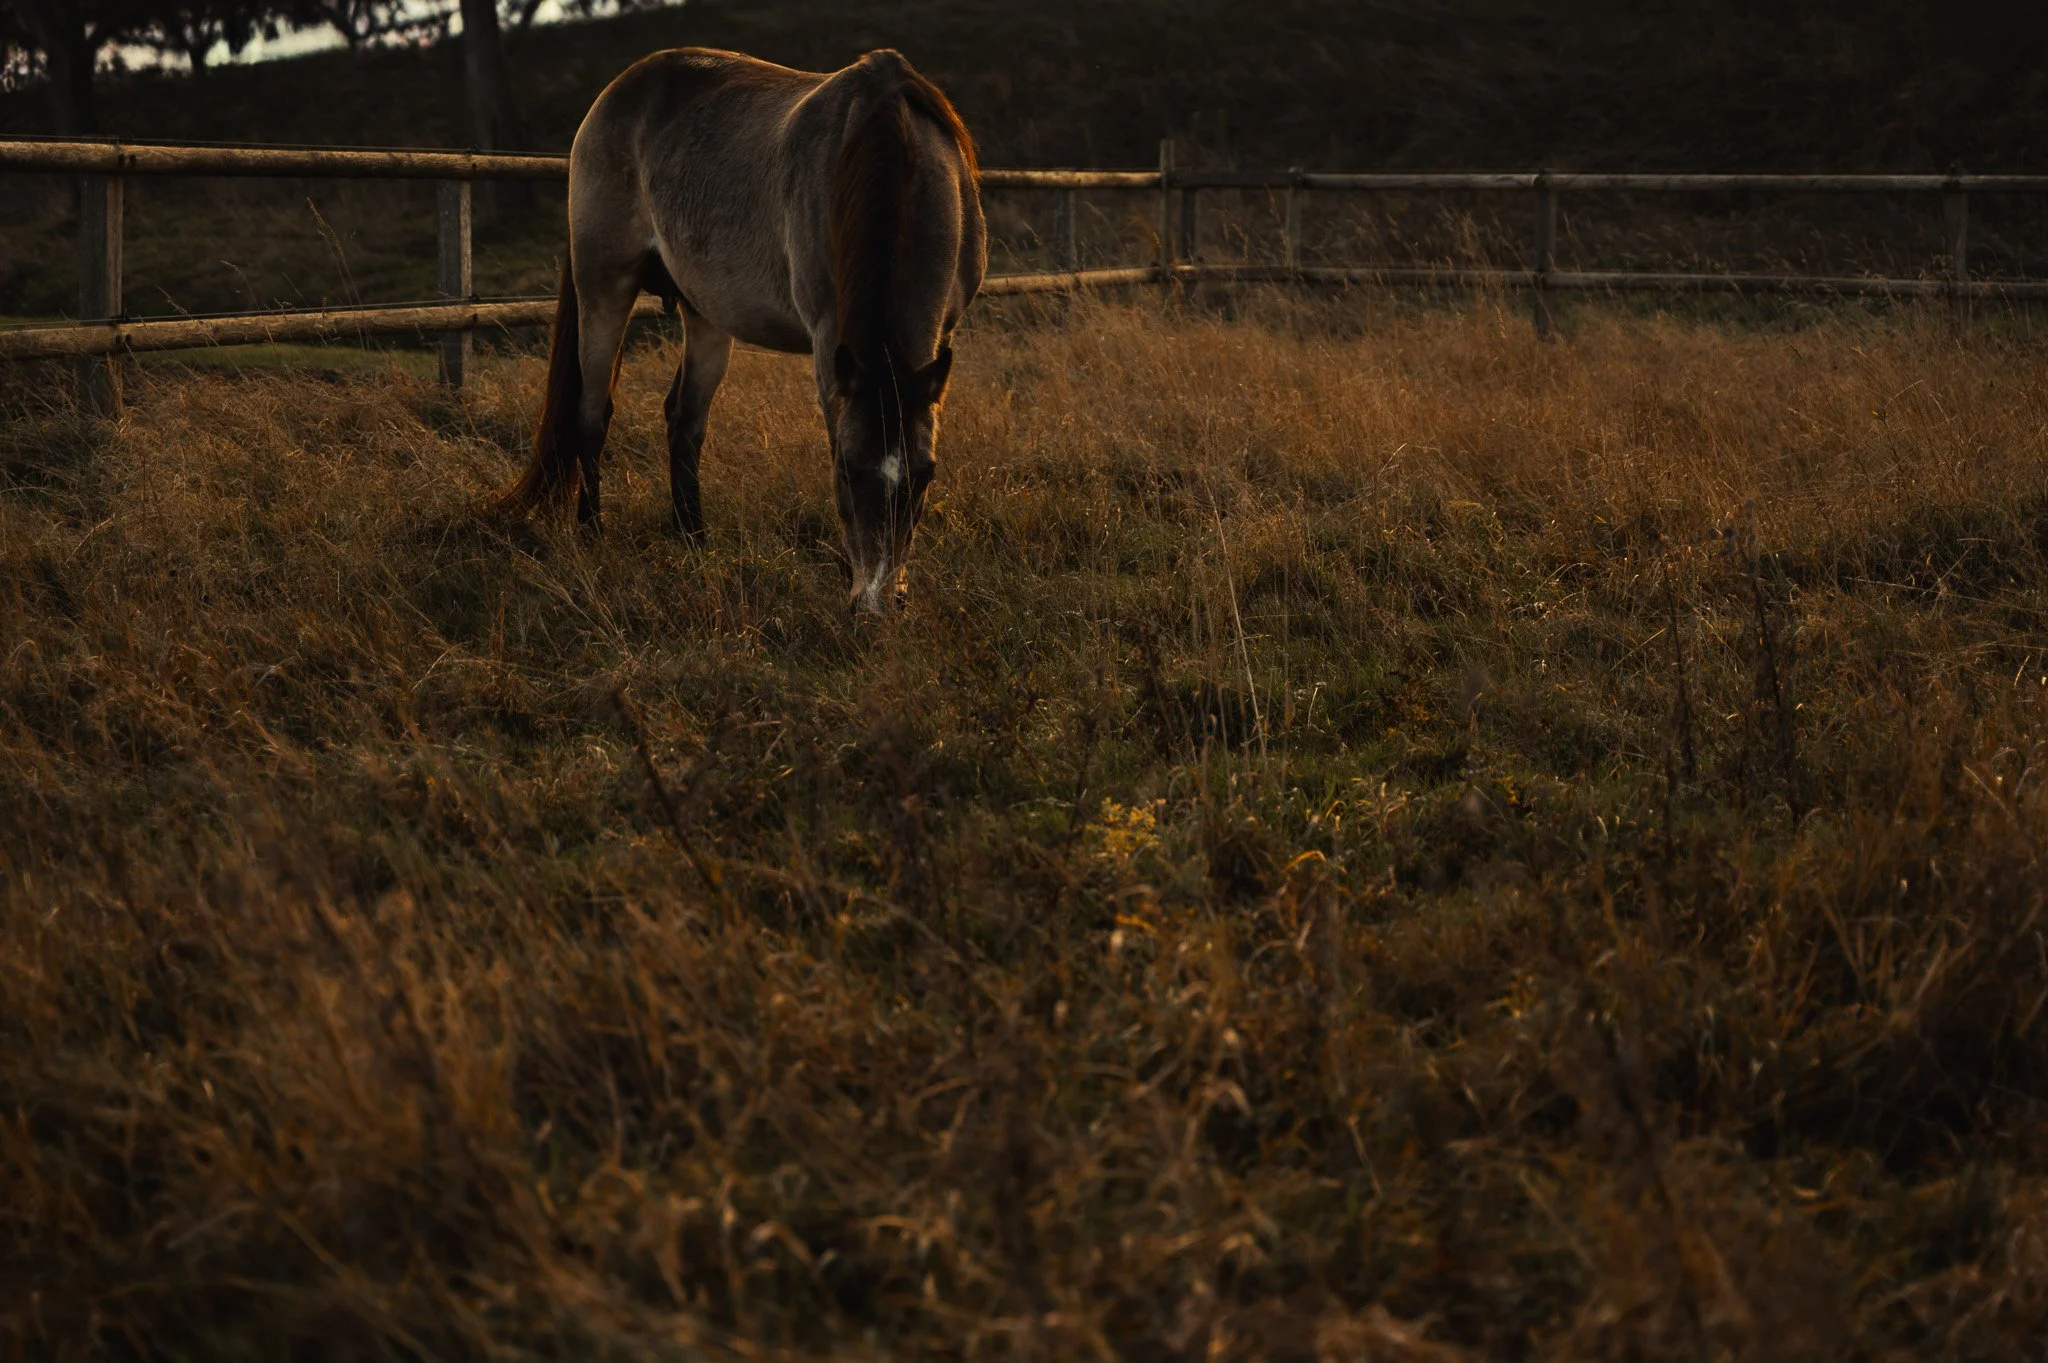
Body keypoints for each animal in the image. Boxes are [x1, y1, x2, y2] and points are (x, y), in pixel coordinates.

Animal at [498, 46, 986, 614]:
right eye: (845, 470)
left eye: (927, 474)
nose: (875, 603)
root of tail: (617, 89)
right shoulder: (829, 343)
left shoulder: (938, 339)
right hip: (604, 288)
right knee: (592, 414)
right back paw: (592, 533)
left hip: (703, 312)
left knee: (685, 419)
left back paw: (693, 538)